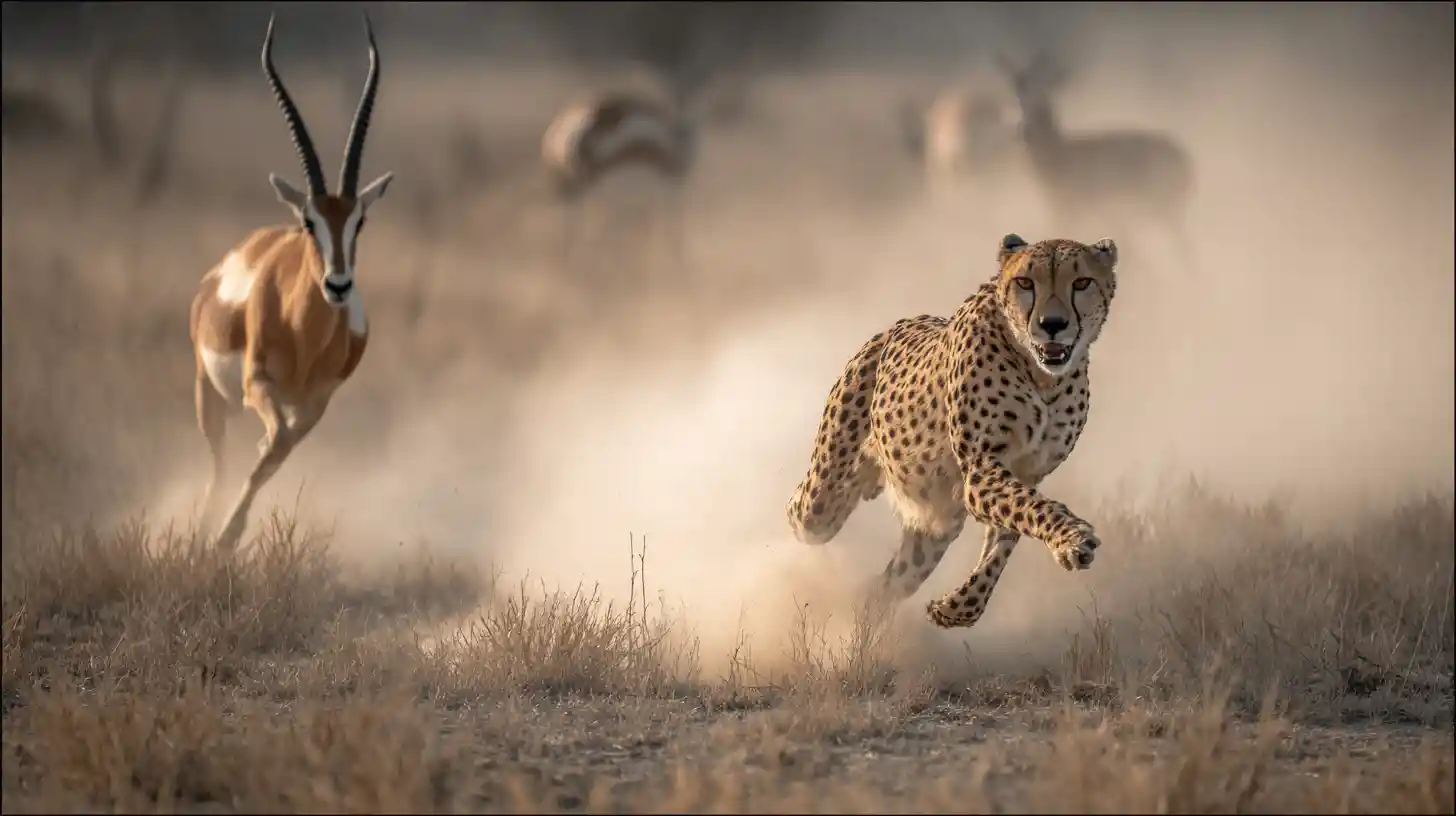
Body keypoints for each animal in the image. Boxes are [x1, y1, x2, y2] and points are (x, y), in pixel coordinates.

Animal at [190, 14, 393, 551]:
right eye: (309, 221)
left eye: (358, 221)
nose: (338, 286)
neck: (302, 332)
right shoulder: (257, 384)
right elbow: (271, 447)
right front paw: (223, 540)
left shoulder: (315, 405)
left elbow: (275, 451)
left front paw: (230, 536)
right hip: (209, 393)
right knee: (218, 462)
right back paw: (202, 532)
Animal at [998, 53, 1196, 268]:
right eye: (1018, 95)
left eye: (1046, 98)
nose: (1025, 130)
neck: (1060, 157)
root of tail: (1187, 162)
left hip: (1166, 207)